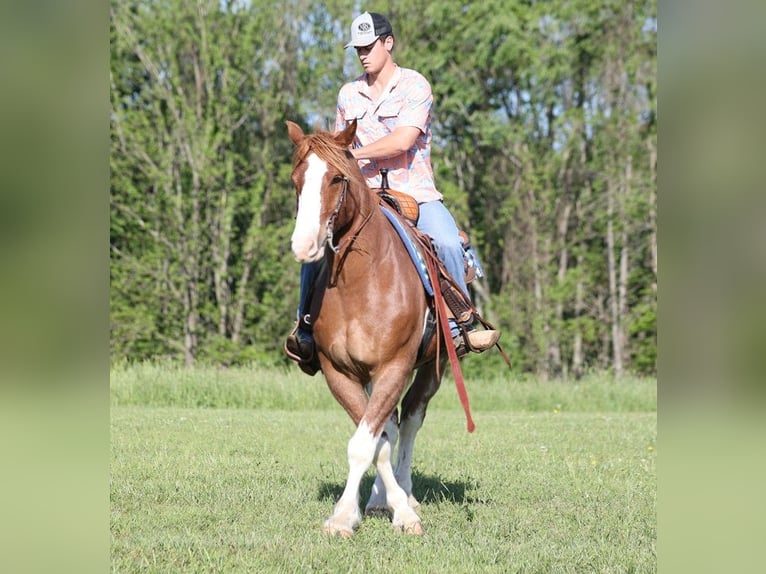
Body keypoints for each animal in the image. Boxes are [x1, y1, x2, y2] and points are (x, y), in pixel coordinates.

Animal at [290, 119, 456, 536]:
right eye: (296, 179)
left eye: (337, 178)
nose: (304, 244)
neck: (361, 282)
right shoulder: (341, 372)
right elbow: (372, 441)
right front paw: (353, 513)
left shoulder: (394, 366)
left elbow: (368, 442)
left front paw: (404, 514)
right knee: (390, 428)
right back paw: (383, 499)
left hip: (433, 367)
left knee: (410, 421)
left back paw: (408, 493)